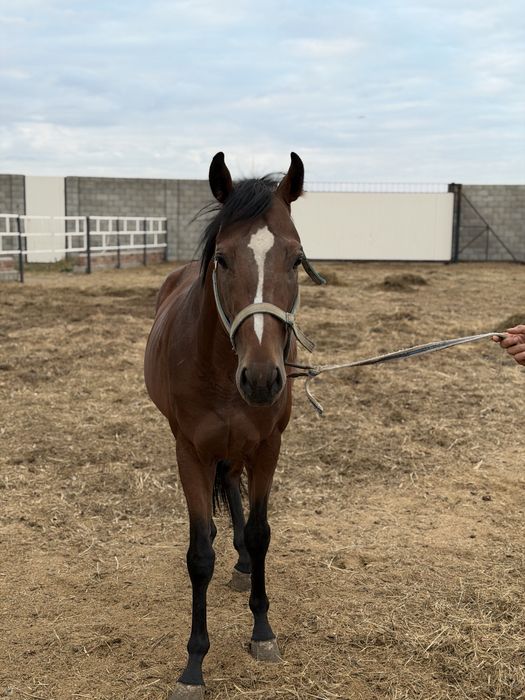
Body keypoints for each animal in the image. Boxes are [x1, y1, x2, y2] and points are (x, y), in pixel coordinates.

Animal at [144, 152, 325, 699]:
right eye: (222, 259)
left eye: (295, 259)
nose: (263, 378)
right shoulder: (189, 451)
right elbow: (199, 554)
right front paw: (193, 665)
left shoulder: (267, 446)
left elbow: (262, 532)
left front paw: (262, 631)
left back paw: (244, 562)